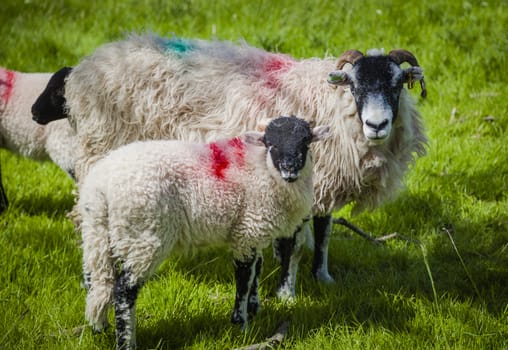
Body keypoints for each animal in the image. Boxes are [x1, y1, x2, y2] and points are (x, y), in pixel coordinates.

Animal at [32, 32, 428, 298]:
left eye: (397, 85)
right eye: (355, 86)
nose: (377, 125)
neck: (330, 106)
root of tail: (88, 66)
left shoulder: (325, 183)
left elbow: (325, 232)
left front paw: (323, 278)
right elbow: (293, 245)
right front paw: (286, 295)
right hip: (99, 150)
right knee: (86, 220)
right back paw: (90, 280)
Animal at [77, 116, 328, 348]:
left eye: (306, 143)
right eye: (271, 144)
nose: (289, 170)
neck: (262, 168)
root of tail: (101, 185)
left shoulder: (253, 234)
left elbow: (256, 270)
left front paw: (254, 309)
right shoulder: (246, 231)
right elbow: (244, 277)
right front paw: (241, 324)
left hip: (97, 235)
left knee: (98, 282)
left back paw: (100, 327)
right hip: (144, 237)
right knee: (123, 290)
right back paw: (126, 342)